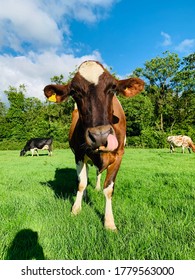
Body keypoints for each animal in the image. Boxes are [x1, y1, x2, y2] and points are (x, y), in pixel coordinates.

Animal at [44, 59, 145, 230]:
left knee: (98, 173)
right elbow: (81, 183)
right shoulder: (78, 154)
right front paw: (76, 208)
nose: (100, 136)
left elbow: (108, 189)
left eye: (113, 87)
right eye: (74, 92)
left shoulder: (119, 154)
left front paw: (109, 222)